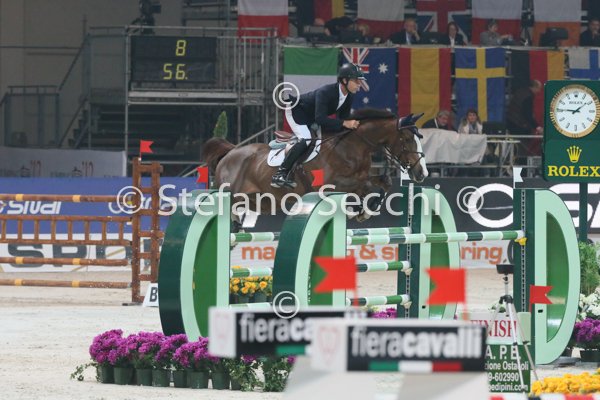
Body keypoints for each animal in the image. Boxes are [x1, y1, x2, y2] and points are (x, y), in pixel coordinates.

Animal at [202, 108, 428, 221]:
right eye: (408, 138)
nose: (421, 173)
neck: (353, 146)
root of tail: (231, 152)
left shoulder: (363, 176)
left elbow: (383, 183)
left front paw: (365, 209)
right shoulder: (330, 185)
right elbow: (366, 186)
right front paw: (360, 210)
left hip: (263, 202)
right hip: (231, 193)